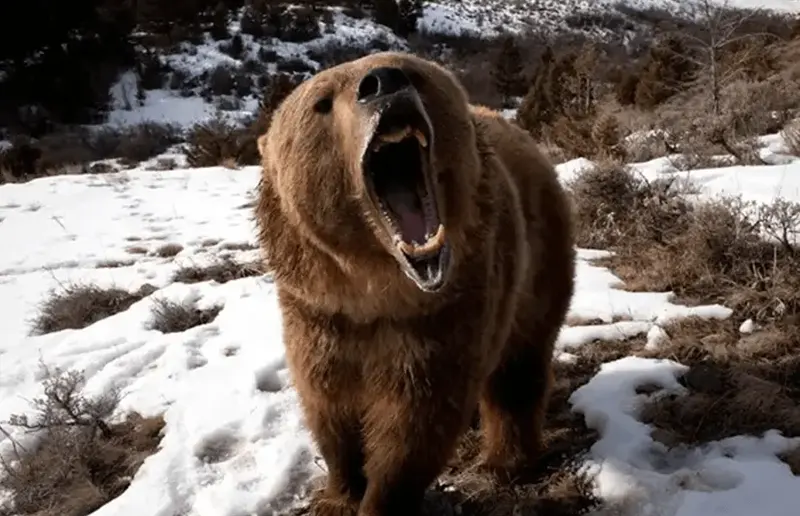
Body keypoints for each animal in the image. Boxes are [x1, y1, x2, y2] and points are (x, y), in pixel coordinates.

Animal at [254, 51, 576, 516]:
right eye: (321, 102)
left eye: (412, 71)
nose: (383, 82)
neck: (374, 290)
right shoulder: (317, 313)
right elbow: (329, 407)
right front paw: (338, 493)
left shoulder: (444, 314)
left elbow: (415, 424)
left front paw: (380, 498)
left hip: (538, 260)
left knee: (519, 366)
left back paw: (506, 461)